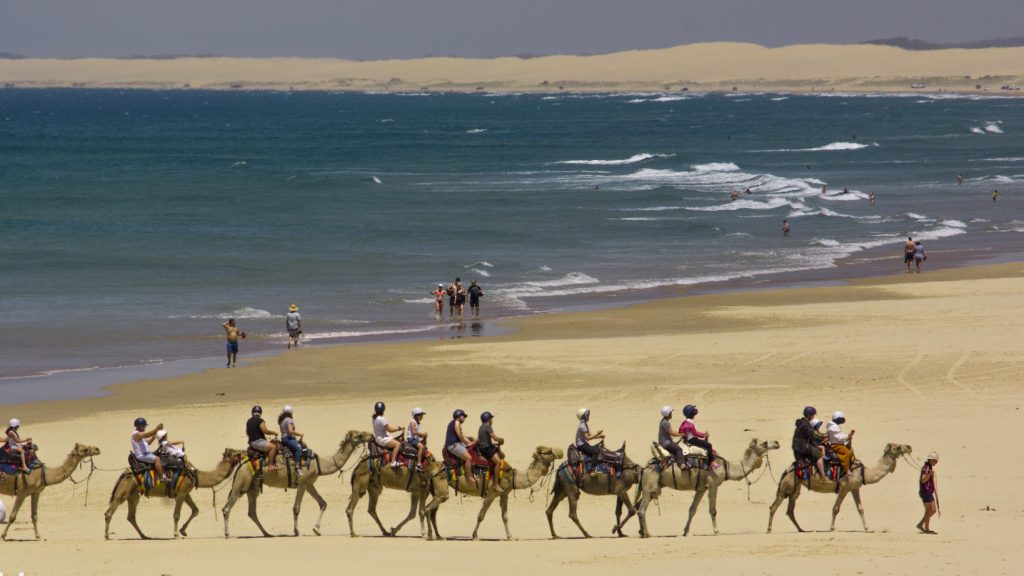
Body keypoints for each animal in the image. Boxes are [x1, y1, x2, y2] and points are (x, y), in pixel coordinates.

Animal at [103, 444, 243, 537]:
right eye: (236, 453)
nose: (244, 451)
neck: (195, 474)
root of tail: (124, 473)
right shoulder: (181, 493)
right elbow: (176, 514)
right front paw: (176, 534)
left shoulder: (186, 493)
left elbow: (195, 510)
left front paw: (183, 531)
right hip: (124, 490)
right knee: (109, 512)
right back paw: (107, 536)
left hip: (133, 494)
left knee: (131, 516)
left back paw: (144, 535)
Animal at [222, 428, 374, 537]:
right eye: (360, 435)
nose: (370, 435)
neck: (320, 464)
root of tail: (242, 462)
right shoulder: (302, 483)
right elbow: (296, 508)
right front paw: (296, 531)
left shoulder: (309, 483)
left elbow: (323, 503)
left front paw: (316, 530)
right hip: (241, 481)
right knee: (227, 507)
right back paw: (227, 534)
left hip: (251, 486)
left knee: (252, 512)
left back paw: (267, 533)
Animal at [428, 444, 565, 537]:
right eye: (548, 451)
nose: (561, 452)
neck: (512, 476)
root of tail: (434, 468)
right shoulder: (491, 493)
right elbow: (481, 516)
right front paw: (474, 535)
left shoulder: (504, 494)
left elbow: (505, 516)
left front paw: (510, 536)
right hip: (441, 488)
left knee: (432, 510)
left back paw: (437, 536)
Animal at [626, 436, 778, 537]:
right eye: (764, 442)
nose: (777, 443)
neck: (727, 468)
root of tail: (644, 467)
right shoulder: (712, 484)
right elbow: (713, 510)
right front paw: (716, 531)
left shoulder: (701, 488)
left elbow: (692, 509)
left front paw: (685, 531)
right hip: (649, 486)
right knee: (642, 509)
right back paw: (647, 533)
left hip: (655, 487)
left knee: (639, 506)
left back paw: (640, 532)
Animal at [765, 440, 917, 532]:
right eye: (898, 447)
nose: (909, 447)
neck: (864, 472)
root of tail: (787, 469)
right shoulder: (844, 487)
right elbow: (836, 508)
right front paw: (832, 528)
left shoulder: (855, 488)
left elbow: (860, 508)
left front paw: (867, 528)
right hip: (787, 485)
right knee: (774, 506)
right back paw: (769, 529)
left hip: (796, 487)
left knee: (790, 509)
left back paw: (801, 529)